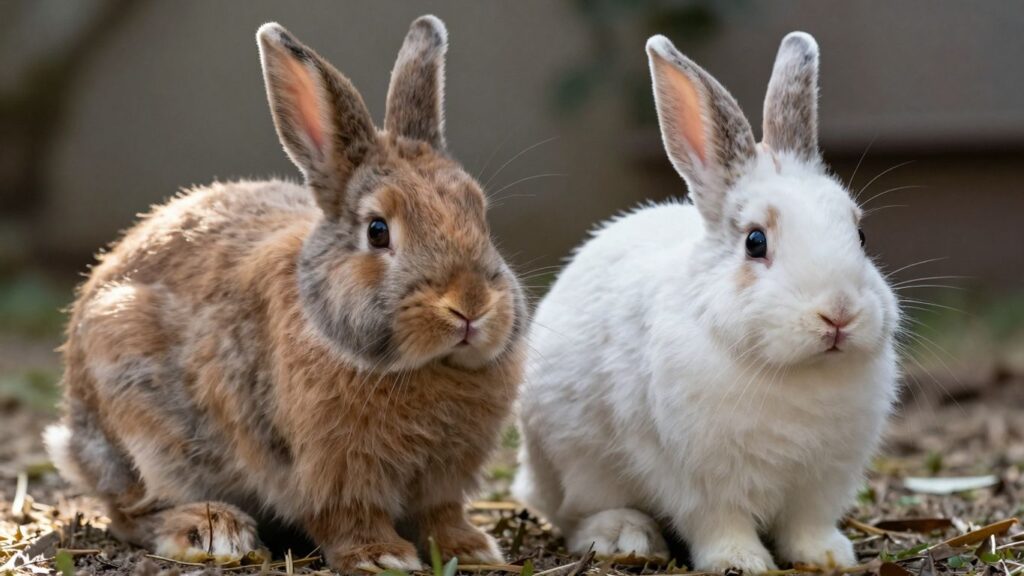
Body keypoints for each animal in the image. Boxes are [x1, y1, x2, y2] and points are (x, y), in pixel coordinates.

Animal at [43, 15, 527, 572]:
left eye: (480, 214)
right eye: (378, 231)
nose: (470, 304)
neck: (423, 368)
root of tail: (74, 442)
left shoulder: (443, 477)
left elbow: (440, 513)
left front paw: (471, 547)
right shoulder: (330, 469)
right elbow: (348, 515)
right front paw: (381, 556)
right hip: (136, 412)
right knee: (133, 511)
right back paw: (211, 530)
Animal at [512, 32, 900, 574]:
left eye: (860, 234)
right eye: (755, 242)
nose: (839, 314)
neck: (793, 373)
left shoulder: (821, 482)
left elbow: (807, 523)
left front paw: (827, 555)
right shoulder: (697, 479)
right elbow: (719, 522)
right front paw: (740, 562)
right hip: (574, 462)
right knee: (575, 514)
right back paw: (624, 537)